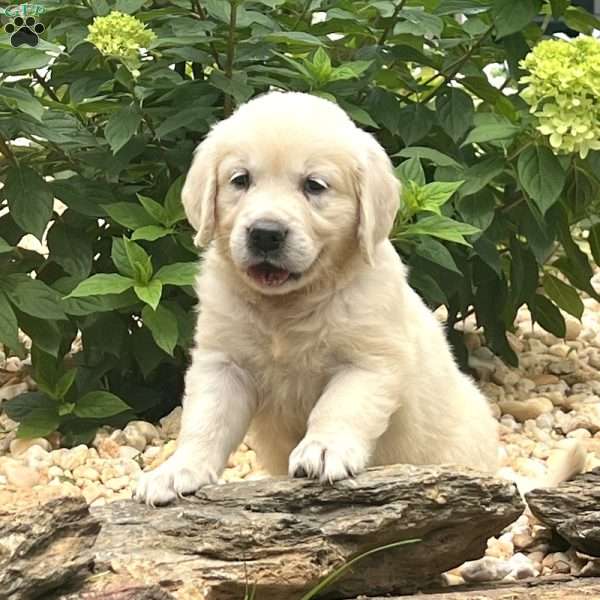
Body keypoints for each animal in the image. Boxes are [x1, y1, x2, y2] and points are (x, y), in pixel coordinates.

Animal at [136, 92, 502, 506]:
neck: (286, 306)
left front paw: (324, 449)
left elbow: (338, 407)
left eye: (314, 186)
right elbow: (206, 421)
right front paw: (176, 471)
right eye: (240, 180)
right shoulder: (223, 362)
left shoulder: (369, 362)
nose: (265, 234)